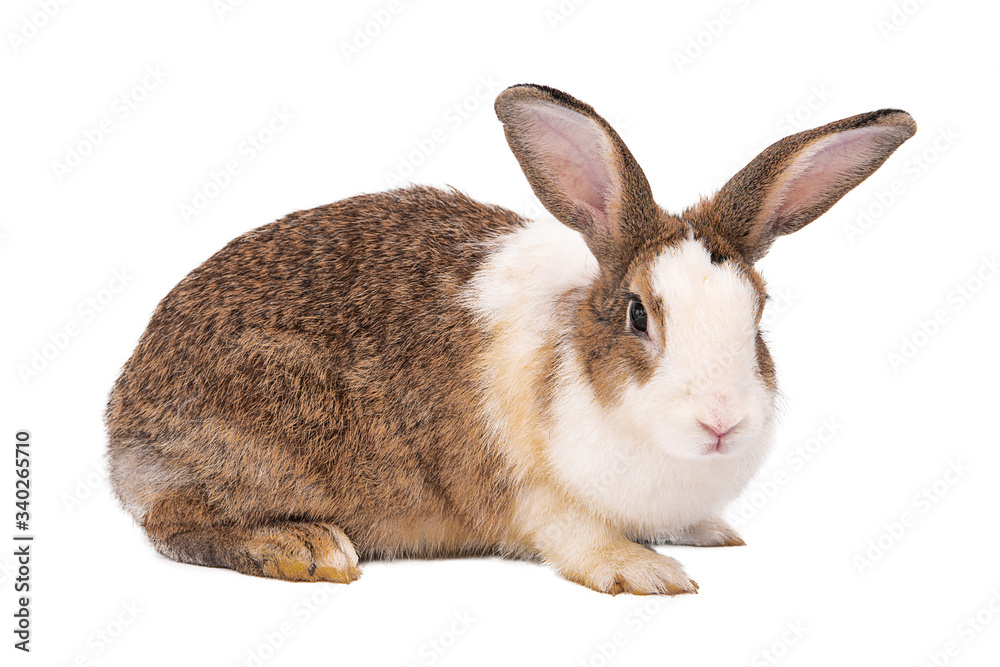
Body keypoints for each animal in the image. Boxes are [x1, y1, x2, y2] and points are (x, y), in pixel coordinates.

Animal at [105, 84, 915, 595]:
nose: (722, 422)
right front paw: (647, 572)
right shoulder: (531, 495)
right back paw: (303, 547)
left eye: (759, 313)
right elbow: (575, 536)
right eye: (638, 315)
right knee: (172, 523)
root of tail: (122, 426)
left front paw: (713, 532)